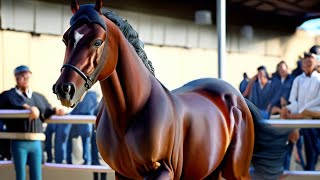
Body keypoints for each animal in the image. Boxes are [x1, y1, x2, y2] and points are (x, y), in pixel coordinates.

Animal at [52, 0, 262, 179]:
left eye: (97, 41)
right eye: (65, 39)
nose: (65, 89)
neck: (130, 113)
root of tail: (237, 99)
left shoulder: (163, 171)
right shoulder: (123, 174)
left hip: (236, 172)